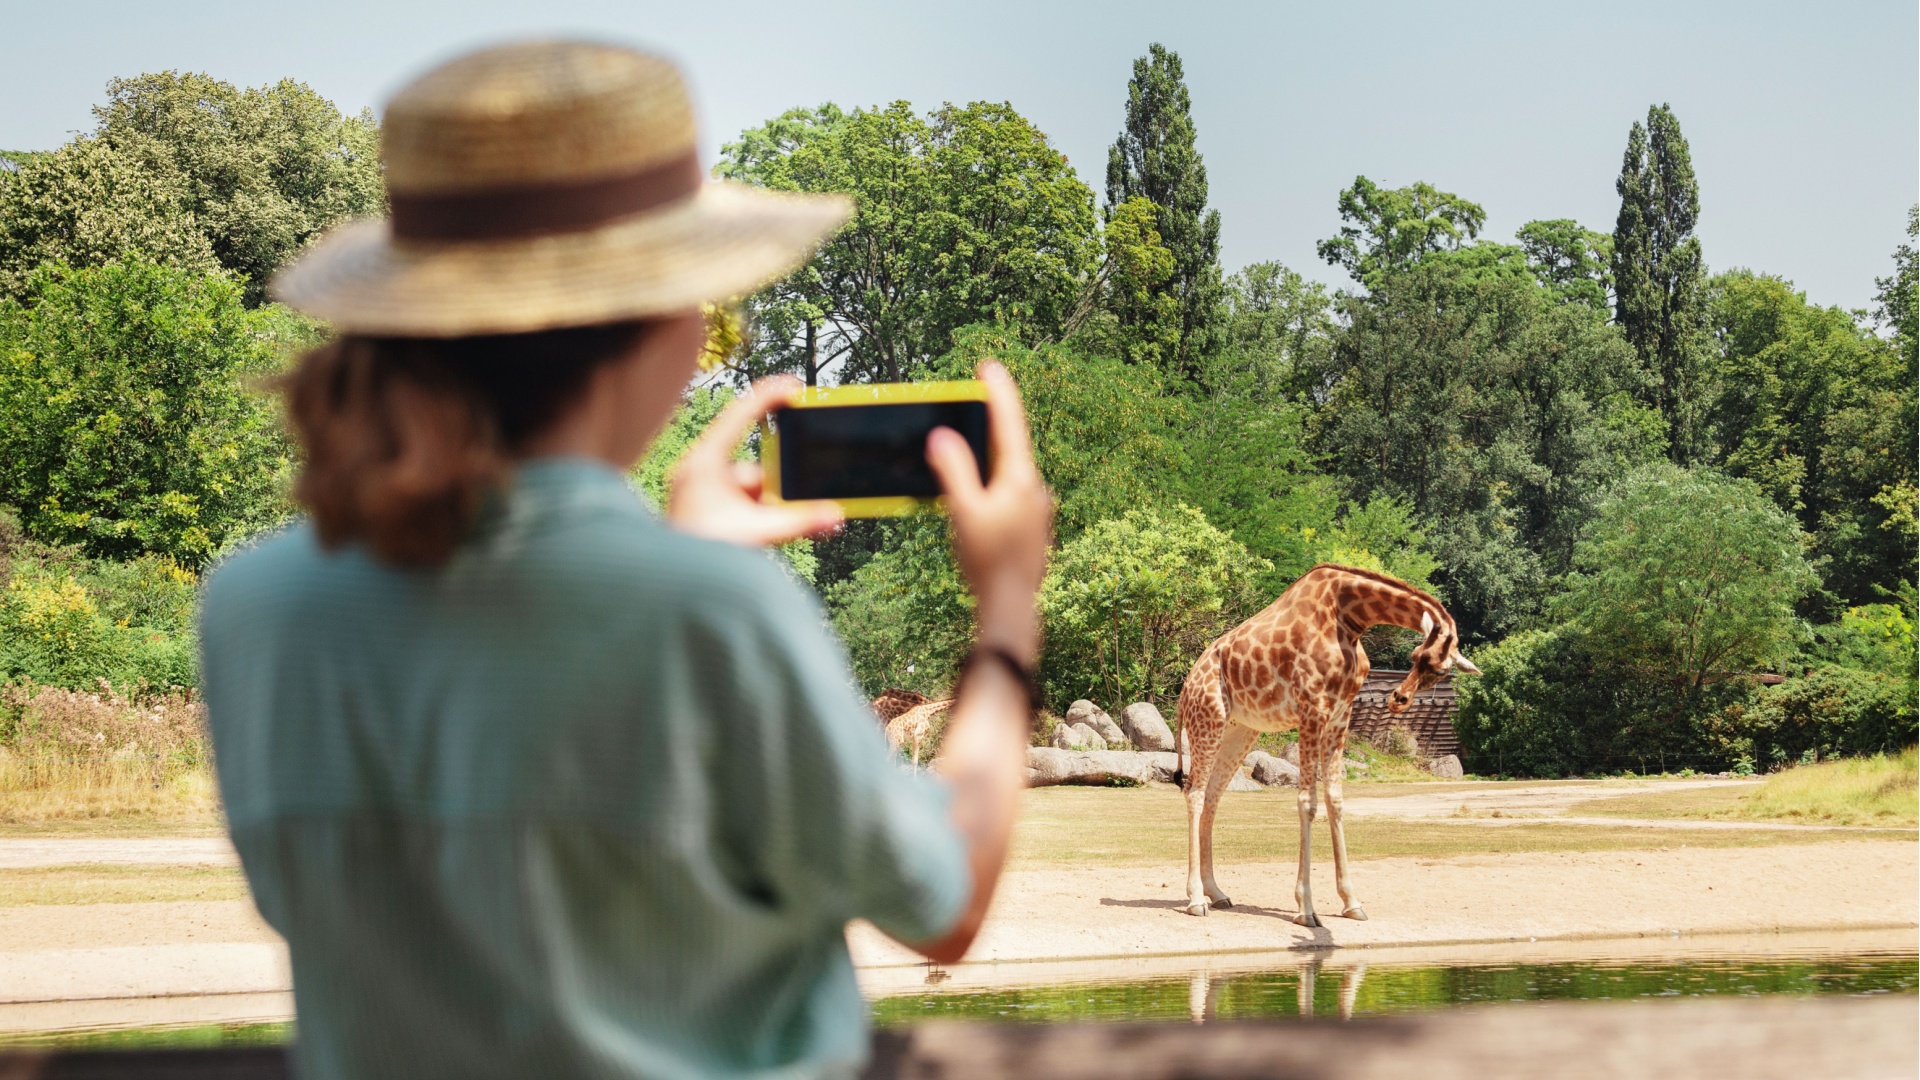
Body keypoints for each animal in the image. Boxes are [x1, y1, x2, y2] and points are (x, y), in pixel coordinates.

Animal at [1159, 564, 1474, 926]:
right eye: (1416, 656)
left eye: (1440, 671)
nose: (1399, 698)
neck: (1350, 618)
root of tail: (1185, 690)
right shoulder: (1312, 710)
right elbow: (1307, 803)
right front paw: (1305, 908)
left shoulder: (1339, 714)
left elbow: (1335, 801)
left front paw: (1351, 902)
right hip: (1208, 718)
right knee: (1195, 792)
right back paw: (1196, 899)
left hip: (1240, 730)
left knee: (1212, 796)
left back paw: (1217, 892)